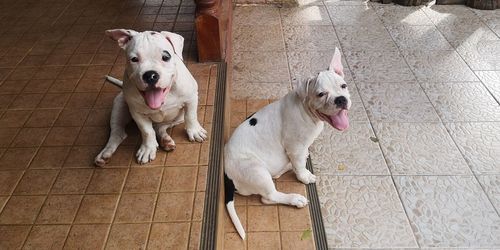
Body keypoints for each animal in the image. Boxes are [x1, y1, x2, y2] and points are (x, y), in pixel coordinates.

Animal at [94, 29, 206, 166]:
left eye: (166, 57)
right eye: (134, 59)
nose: (150, 75)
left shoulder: (191, 98)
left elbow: (191, 116)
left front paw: (195, 131)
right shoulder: (137, 113)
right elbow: (146, 131)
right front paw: (148, 148)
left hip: (177, 118)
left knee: (160, 127)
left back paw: (165, 140)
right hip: (119, 105)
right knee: (118, 132)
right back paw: (105, 154)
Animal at [225, 47, 350, 239]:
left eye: (343, 86)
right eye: (321, 94)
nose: (341, 99)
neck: (307, 111)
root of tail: (227, 176)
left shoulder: (298, 148)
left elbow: (299, 161)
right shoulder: (295, 147)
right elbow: (299, 166)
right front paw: (304, 176)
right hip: (256, 171)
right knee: (268, 197)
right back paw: (294, 198)